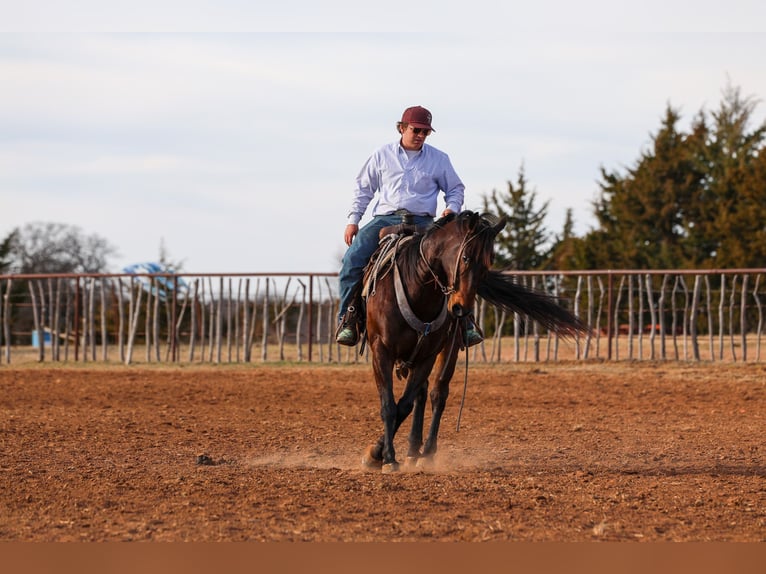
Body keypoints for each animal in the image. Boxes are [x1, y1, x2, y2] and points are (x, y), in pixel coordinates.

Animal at [359, 210, 588, 473]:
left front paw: (380, 454)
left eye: (489, 262)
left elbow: (403, 405)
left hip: (448, 348)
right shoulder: (381, 351)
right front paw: (385, 457)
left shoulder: (428, 354)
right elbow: (389, 405)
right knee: (423, 394)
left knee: (437, 393)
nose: (461, 309)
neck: (417, 289)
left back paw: (424, 453)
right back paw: (412, 451)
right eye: (466, 257)